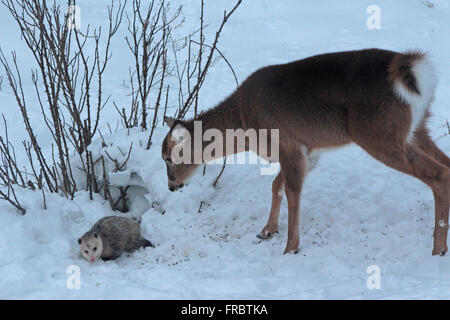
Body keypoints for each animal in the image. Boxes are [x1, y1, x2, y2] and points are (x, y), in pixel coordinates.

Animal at [162, 48, 450, 256]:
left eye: (168, 158)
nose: (171, 186)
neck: (244, 123)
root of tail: (410, 68)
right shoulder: (307, 151)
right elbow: (276, 186)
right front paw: (267, 230)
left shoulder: (288, 144)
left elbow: (292, 192)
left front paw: (290, 247)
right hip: (416, 129)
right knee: (446, 164)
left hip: (380, 133)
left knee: (439, 175)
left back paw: (437, 249)